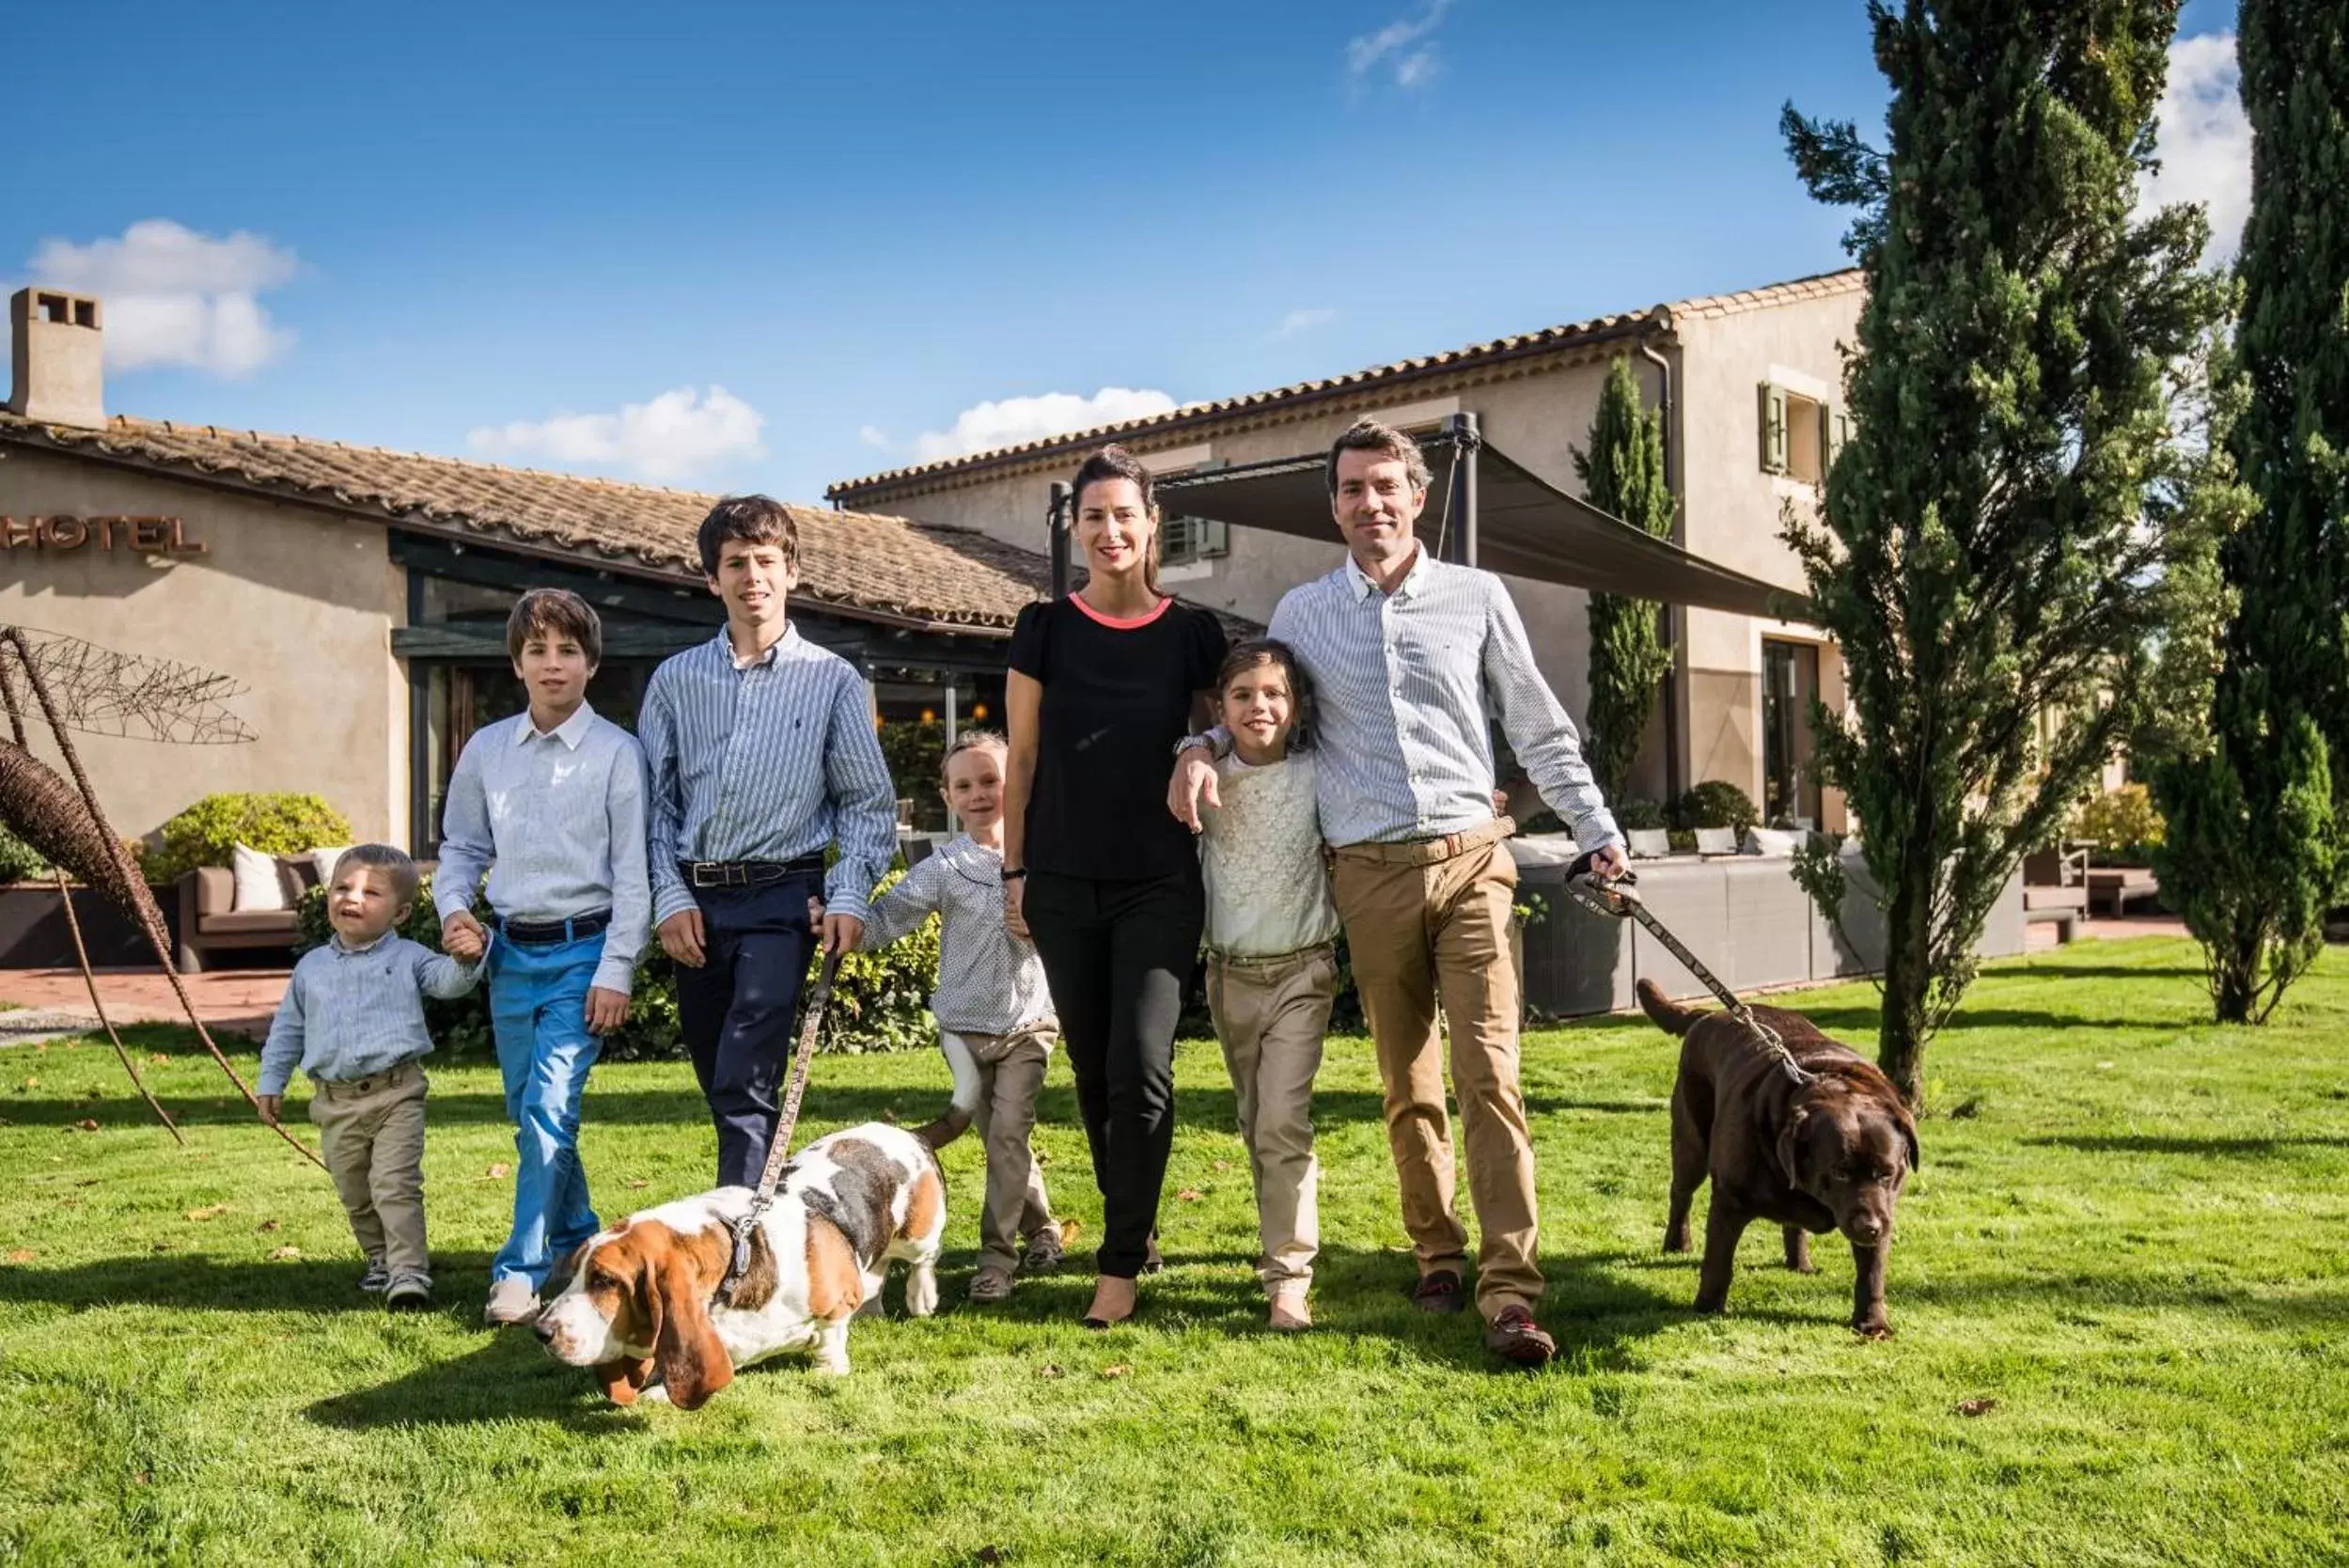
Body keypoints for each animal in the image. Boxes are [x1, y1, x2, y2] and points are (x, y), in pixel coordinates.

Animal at [538, 1114, 958, 1410]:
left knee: (923, 1258)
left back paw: (921, 1297)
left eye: (604, 1281)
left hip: (918, 1234)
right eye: (573, 1272)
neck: (740, 1260)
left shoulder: (835, 1305)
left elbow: (831, 1336)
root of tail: (908, 1132)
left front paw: (829, 1370)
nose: (541, 1332)